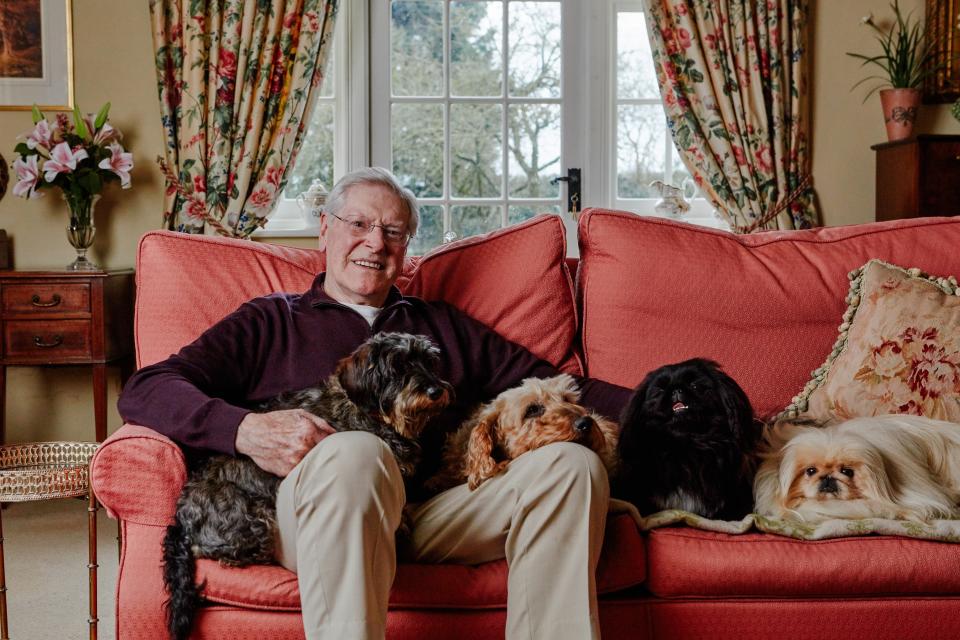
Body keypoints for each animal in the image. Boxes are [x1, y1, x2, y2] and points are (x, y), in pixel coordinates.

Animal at [162, 330, 454, 640]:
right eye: (397, 366)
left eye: (428, 361)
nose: (435, 390)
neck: (370, 411)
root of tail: (181, 518)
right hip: (256, 524)